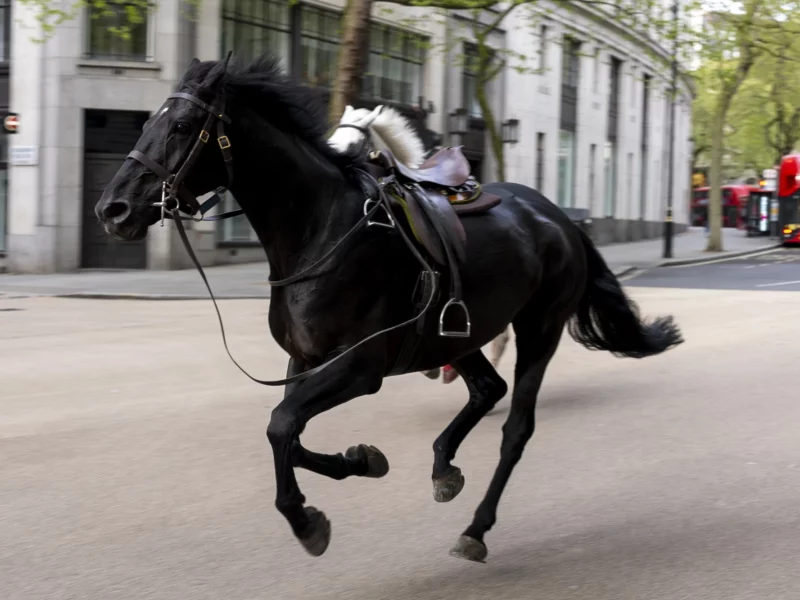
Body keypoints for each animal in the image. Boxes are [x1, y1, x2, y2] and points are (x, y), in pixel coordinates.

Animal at [94, 55, 680, 564]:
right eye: (148, 121)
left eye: (183, 124)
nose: (112, 209)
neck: (321, 231)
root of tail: (560, 218)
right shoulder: (305, 362)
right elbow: (289, 432)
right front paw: (361, 460)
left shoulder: (359, 366)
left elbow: (281, 426)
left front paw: (306, 520)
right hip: (456, 334)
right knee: (487, 389)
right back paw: (444, 467)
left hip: (539, 328)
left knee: (516, 428)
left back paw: (476, 529)